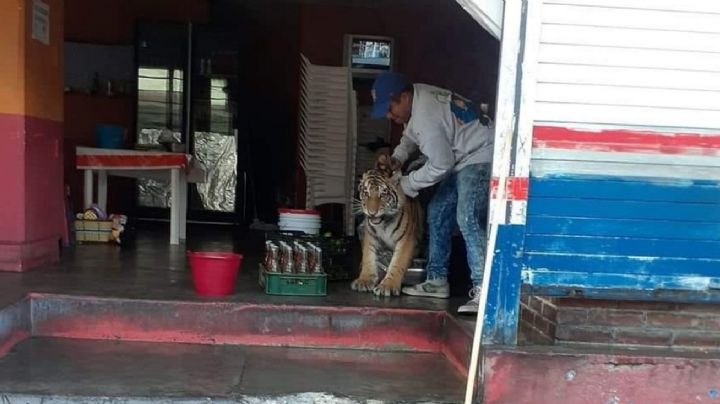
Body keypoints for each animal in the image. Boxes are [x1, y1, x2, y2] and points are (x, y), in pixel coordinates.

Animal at [351, 156, 424, 297]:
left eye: (383, 194)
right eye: (366, 193)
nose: (372, 212)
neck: (383, 224)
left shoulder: (406, 240)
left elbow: (397, 263)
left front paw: (387, 286)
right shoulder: (370, 236)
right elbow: (368, 257)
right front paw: (365, 280)